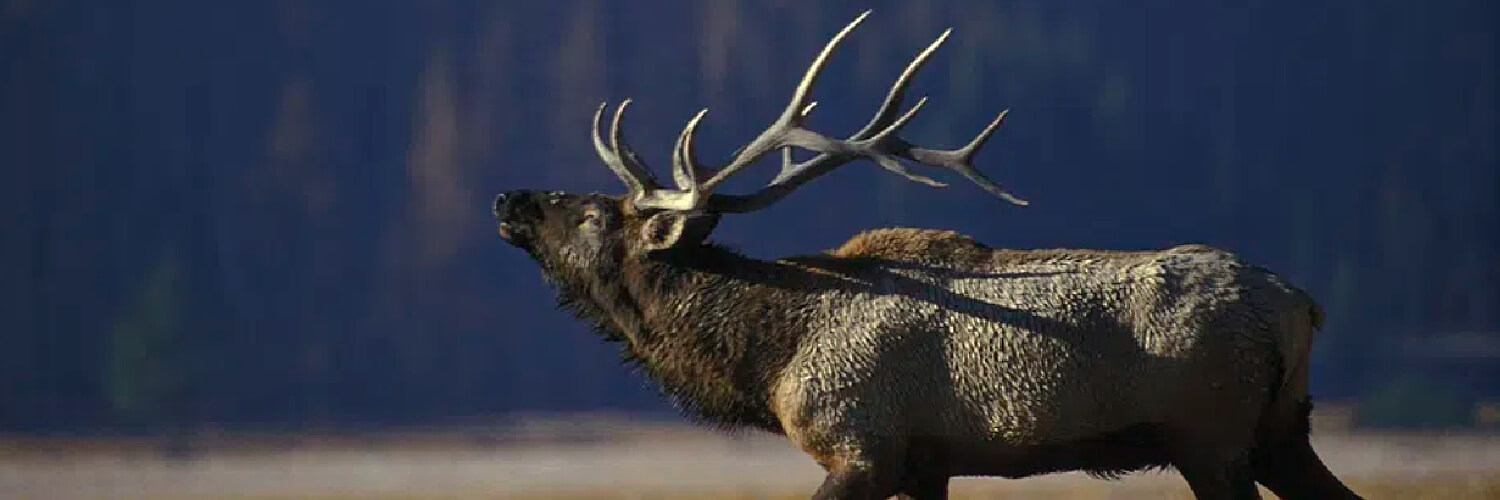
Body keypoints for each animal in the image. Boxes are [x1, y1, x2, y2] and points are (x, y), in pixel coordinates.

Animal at [489, 10, 1362, 500]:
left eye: (592, 214)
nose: (508, 200)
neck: (769, 358)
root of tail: (1302, 306)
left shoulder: (862, 447)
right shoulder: (927, 463)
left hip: (1210, 435)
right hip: (1282, 432)